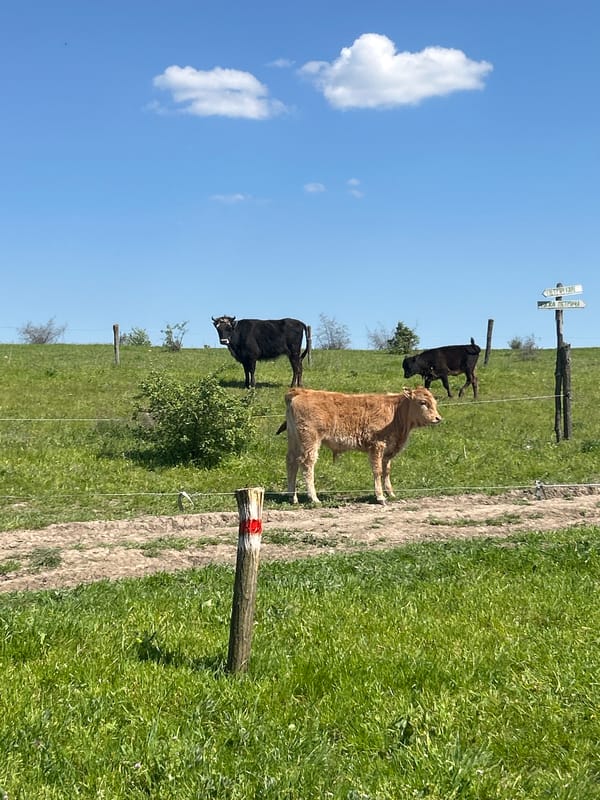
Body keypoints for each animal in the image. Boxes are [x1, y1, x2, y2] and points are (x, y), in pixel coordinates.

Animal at [277, 386, 442, 505]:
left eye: (434, 402)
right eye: (422, 402)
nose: (438, 418)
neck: (395, 411)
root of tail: (300, 391)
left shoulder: (388, 451)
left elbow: (386, 471)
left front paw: (391, 493)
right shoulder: (377, 446)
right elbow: (378, 471)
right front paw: (380, 497)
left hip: (294, 439)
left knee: (291, 462)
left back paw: (293, 497)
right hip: (310, 441)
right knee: (307, 464)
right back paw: (314, 498)